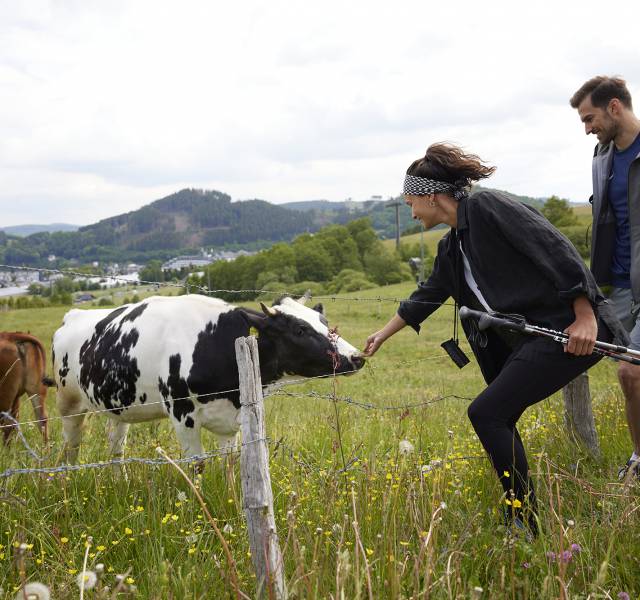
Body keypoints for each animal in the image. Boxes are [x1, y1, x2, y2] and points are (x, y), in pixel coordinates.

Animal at [52, 292, 362, 462]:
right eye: (299, 329)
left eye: (323, 322)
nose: (357, 356)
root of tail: (72, 315)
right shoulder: (182, 415)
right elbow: (197, 465)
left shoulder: (232, 419)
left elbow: (229, 465)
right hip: (68, 404)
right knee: (71, 447)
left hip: (118, 407)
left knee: (116, 447)